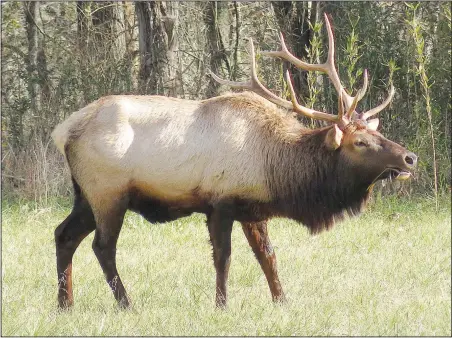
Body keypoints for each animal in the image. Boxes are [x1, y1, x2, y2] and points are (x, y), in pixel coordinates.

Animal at [52, 15, 416, 310]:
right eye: (360, 142)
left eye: (375, 131)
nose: (409, 157)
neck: (277, 170)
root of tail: (63, 131)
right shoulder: (220, 202)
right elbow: (223, 259)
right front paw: (221, 305)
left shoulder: (253, 209)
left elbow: (268, 256)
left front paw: (282, 301)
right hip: (108, 193)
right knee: (103, 247)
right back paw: (126, 304)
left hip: (85, 195)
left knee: (63, 234)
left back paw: (65, 304)